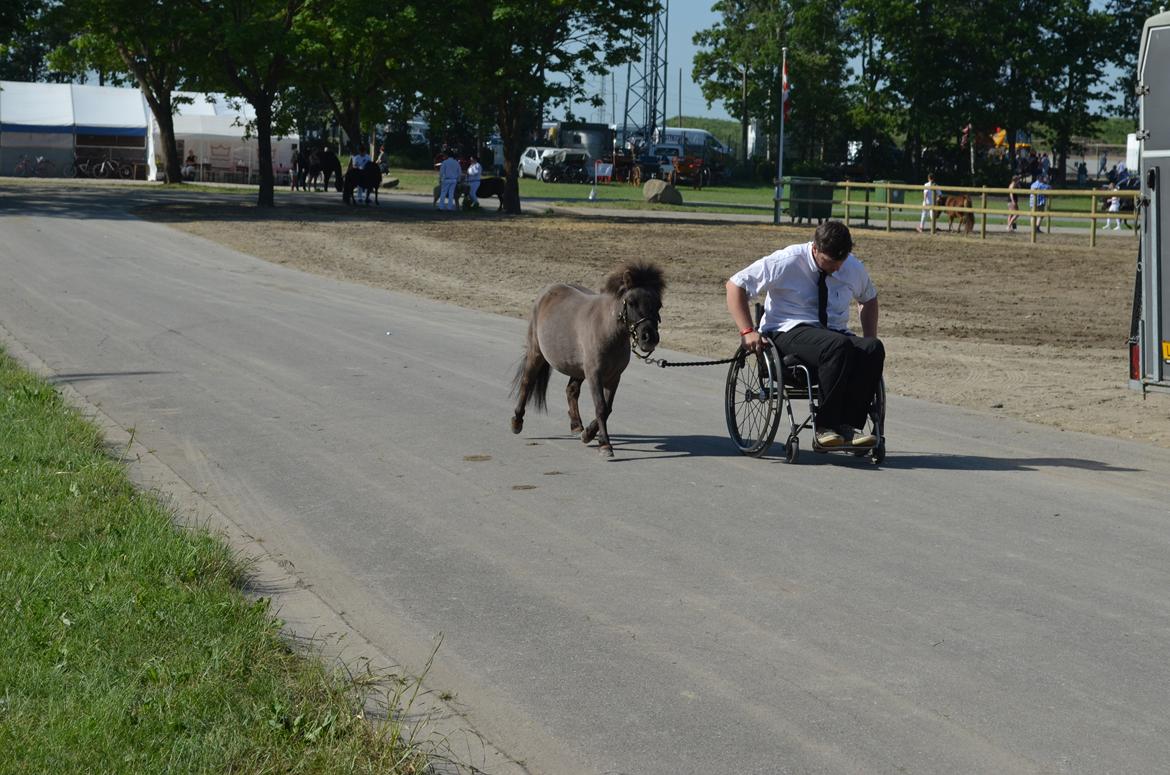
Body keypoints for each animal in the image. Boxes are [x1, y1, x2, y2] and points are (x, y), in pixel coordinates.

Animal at [512, 261, 669, 458]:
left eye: (659, 304)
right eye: (632, 302)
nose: (649, 338)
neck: (607, 330)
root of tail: (548, 291)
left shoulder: (614, 377)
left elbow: (608, 408)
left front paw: (589, 435)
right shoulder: (595, 374)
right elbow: (600, 407)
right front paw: (605, 445)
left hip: (577, 368)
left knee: (571, 390)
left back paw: (577, 426)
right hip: (536, 353)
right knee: (527, 382)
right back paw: (517, 422)